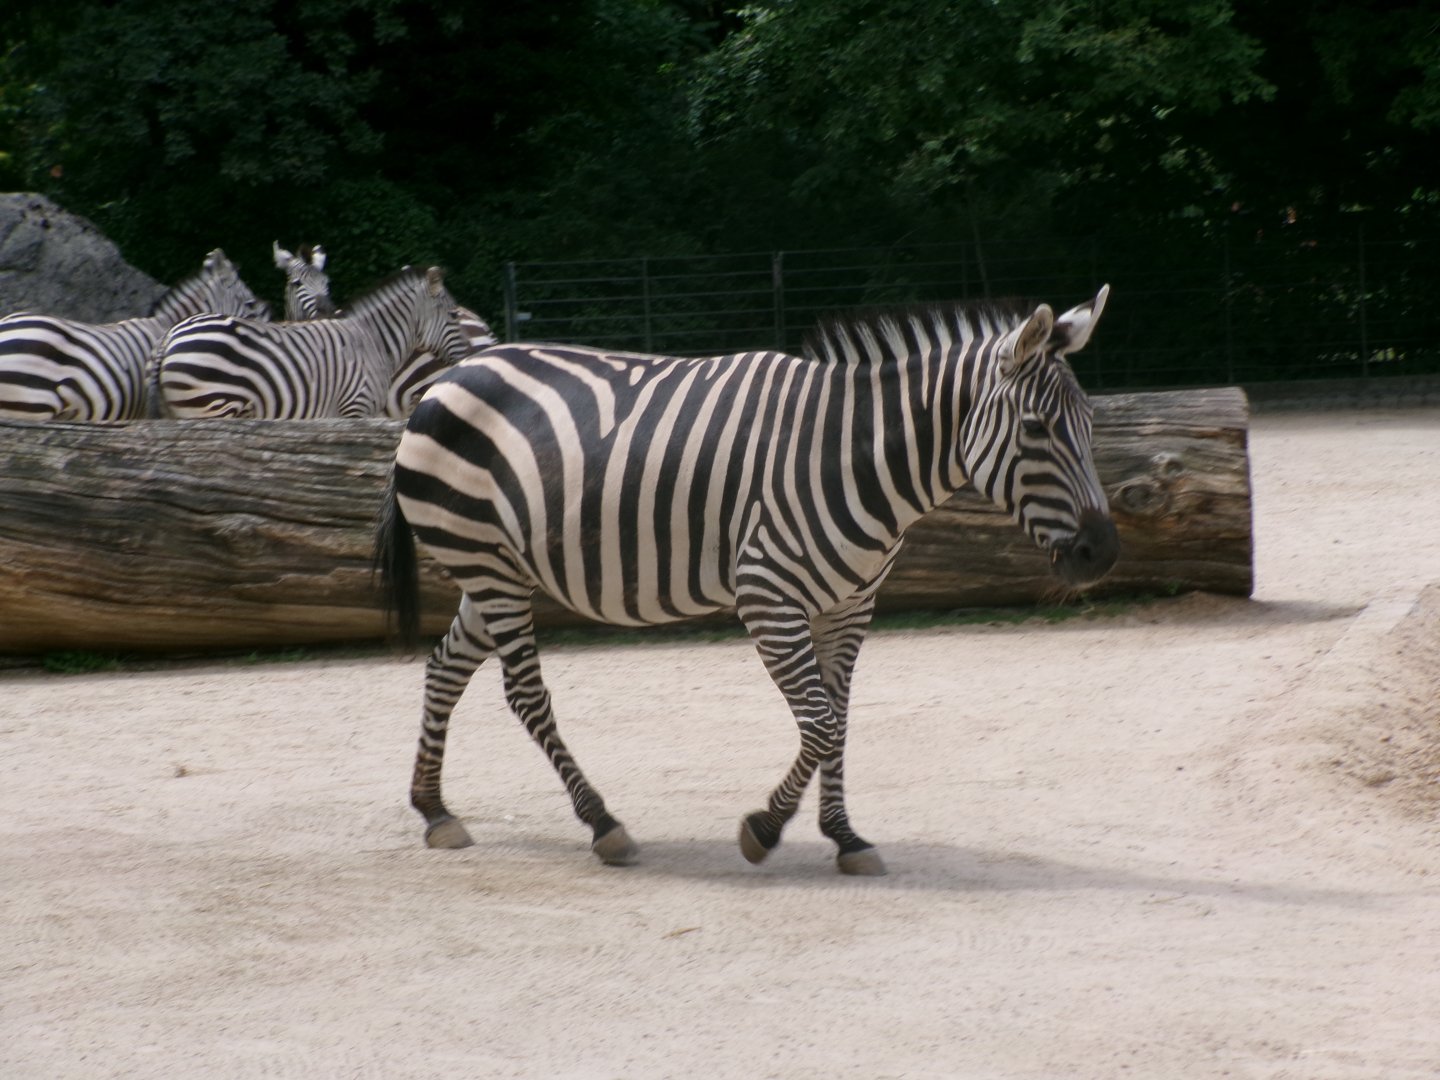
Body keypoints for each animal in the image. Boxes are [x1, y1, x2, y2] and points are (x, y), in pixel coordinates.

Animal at [153, 266, 471, 419]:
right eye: (453, 314)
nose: (469, 353)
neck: (372, 341)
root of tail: (170, 335)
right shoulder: (355, 408)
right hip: (208, 407)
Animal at [374, 286, 1119, 876]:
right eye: (1036, 428)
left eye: (1089, 423)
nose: (1102, 554)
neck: (852, 456)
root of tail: (452, 375)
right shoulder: (768, 597)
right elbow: (819, 722)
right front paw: (763, 829)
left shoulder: (851, 605)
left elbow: (839, 720)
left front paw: (845, 837)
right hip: (488, 564)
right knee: (524, 693)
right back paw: (602, 824)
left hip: (497, 568)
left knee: (445, 666)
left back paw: (434, 809)